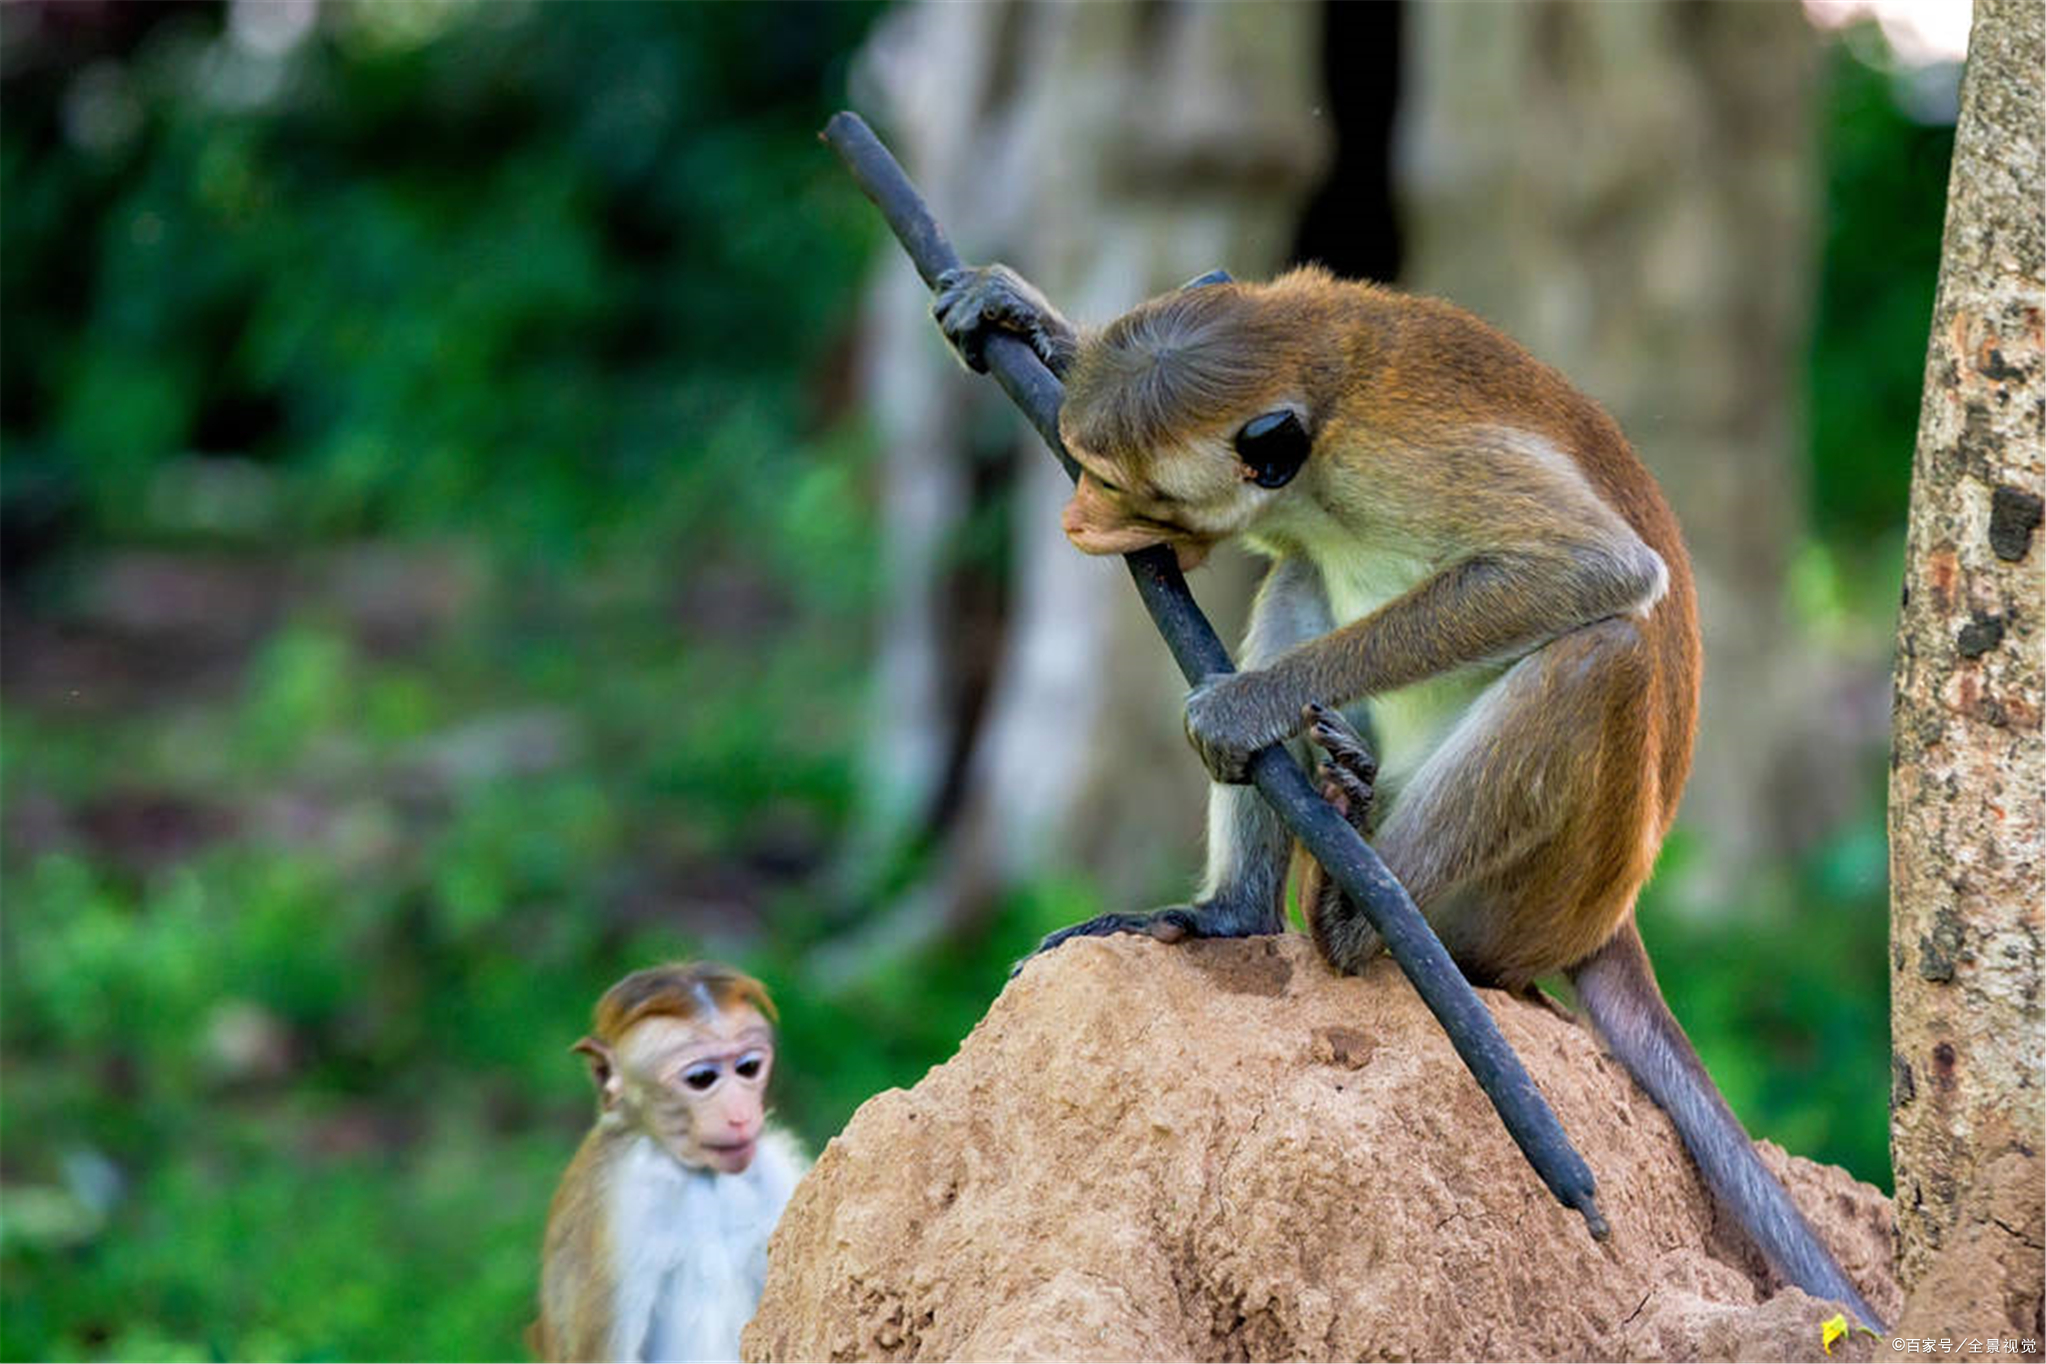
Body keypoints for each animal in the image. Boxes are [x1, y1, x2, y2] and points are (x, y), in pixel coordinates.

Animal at [941, 261, 1882, 1325]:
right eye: (1090, 467)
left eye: (1121, 484)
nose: (1076, 519)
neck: (1319, 389)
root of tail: (1616, 913)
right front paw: (1024, 316)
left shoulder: (1403, 459)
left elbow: (1592, 568)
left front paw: (1247, 703)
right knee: (1304, 581)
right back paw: (1238, 912)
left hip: (1534, 897)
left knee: (1600, 650)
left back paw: (1349, 919)